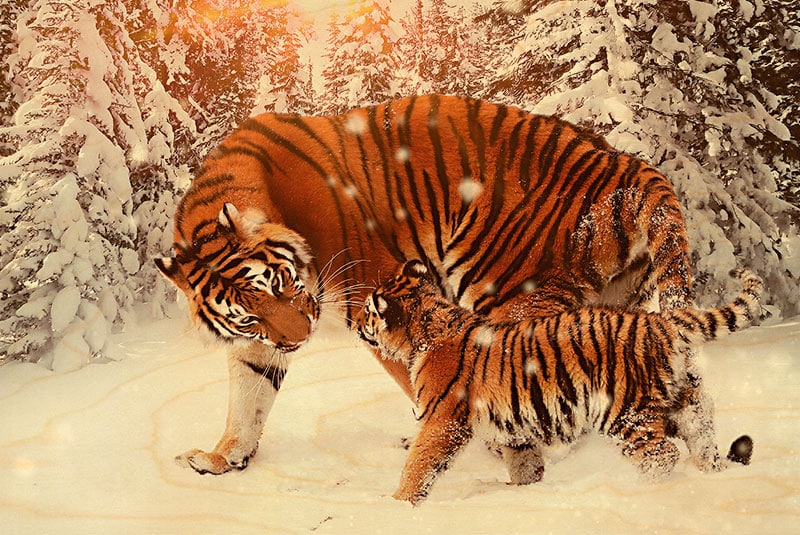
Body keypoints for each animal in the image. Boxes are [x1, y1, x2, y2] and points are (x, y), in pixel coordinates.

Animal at [155, 94, 705, 479]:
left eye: (282, 283)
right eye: (250, 314)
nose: (300, 339)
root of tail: (627, 165)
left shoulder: (374, 294)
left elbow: (418, 376)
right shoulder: (258, 342)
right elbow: (247, 399)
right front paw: (223, 458)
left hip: (506, 291)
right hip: (618, 306)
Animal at [356, 260, 761, 505]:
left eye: (367, 312)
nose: (356, 324)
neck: (424, 327)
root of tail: (660, 321)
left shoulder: (443, 421)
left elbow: (419, 463)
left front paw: (398, 504)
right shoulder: (513, 427)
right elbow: (523, 463)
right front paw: (523, 489)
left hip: (624, 413)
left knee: (662, 455)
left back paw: (640, 490)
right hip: (685, 401)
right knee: (702, 437)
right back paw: (713, 474)